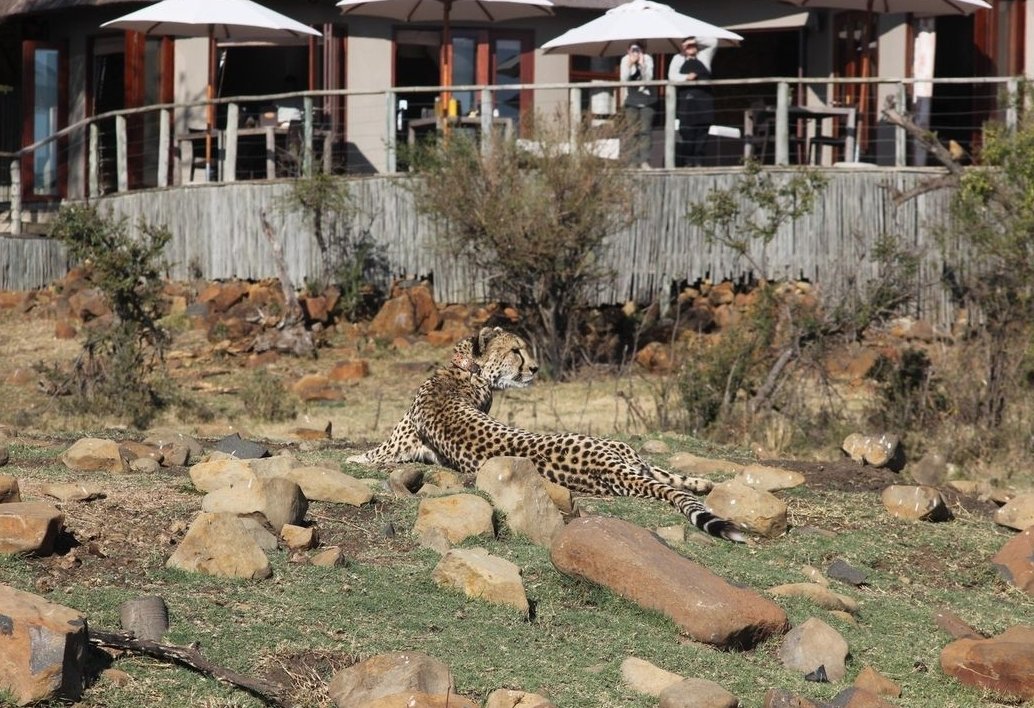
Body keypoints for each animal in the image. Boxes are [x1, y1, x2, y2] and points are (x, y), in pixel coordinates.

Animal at [348, 326, 745, 542]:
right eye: (515, 350)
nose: (536, 368)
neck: (466, 371)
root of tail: (605, 466)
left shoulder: (398, 444)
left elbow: (373, 452)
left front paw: (353, 457)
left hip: (621, 452)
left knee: (666, 475)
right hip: (627, 456)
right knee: (665, 475)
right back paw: (705, 483)